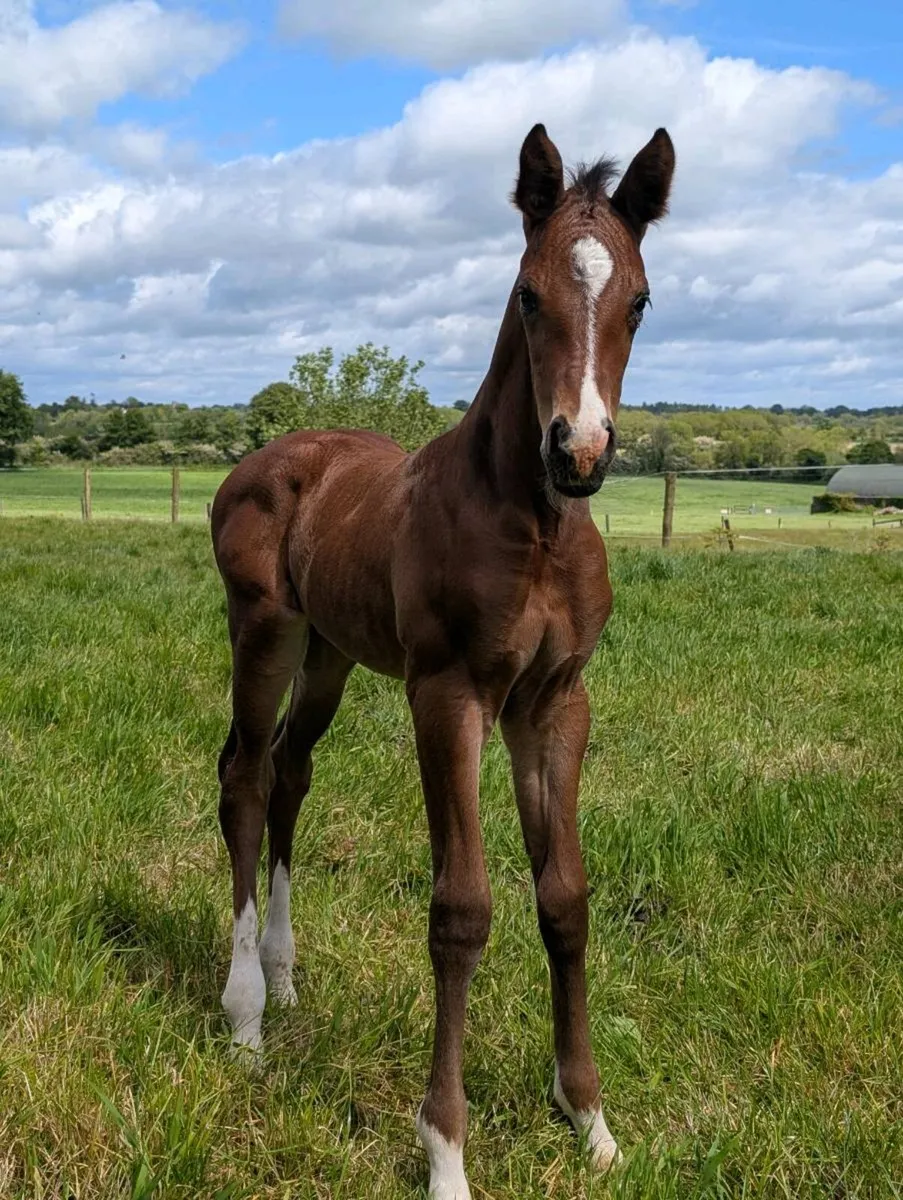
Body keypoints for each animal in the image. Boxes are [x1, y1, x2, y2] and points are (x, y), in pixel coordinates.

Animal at [210, 122, 675, 1199]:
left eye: (638, 300)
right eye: (527, 294)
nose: (578, 451)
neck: (534, 526)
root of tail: (271, 454)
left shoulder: (554, 703)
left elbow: (565, 898)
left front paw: (589, 1120)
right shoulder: (449, 695)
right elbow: (461, 911)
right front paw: (446, 1152)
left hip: (331, 653)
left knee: (291, 770)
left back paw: (286, 980)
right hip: (265, 631)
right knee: (245, 778)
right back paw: (246, 1015)